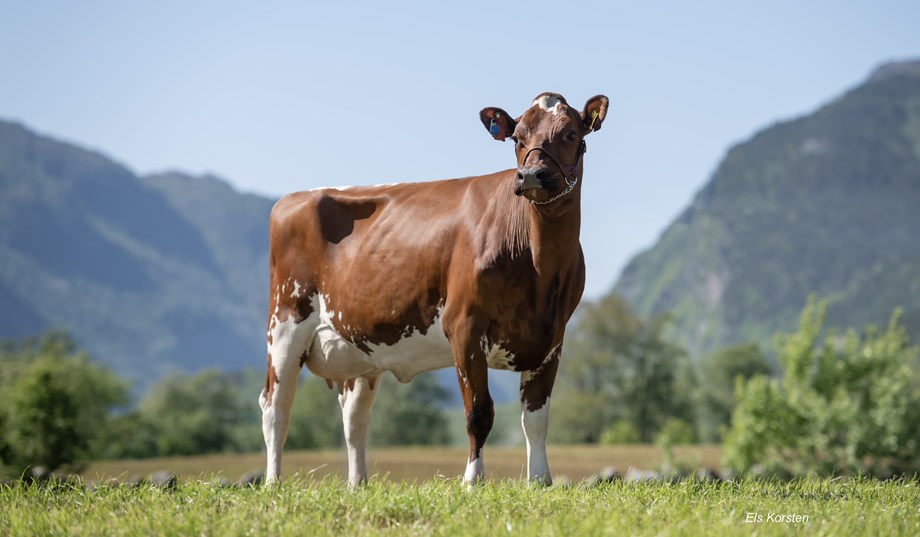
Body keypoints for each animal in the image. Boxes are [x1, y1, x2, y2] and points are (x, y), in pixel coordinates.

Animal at [255, 92, 608, 486]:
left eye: (571, 134)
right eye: (517, 138)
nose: (531, 174)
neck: (539, 264)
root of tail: (296, 196)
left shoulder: (552, 337)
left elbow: (536, 419)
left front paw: (540, 480)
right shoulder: (464, 326)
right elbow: (478, 412)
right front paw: (472, 480)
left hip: (359, 347)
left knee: (354, 417)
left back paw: (358, 484)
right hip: (285, 323)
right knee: (275, 407)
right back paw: (273, 482)